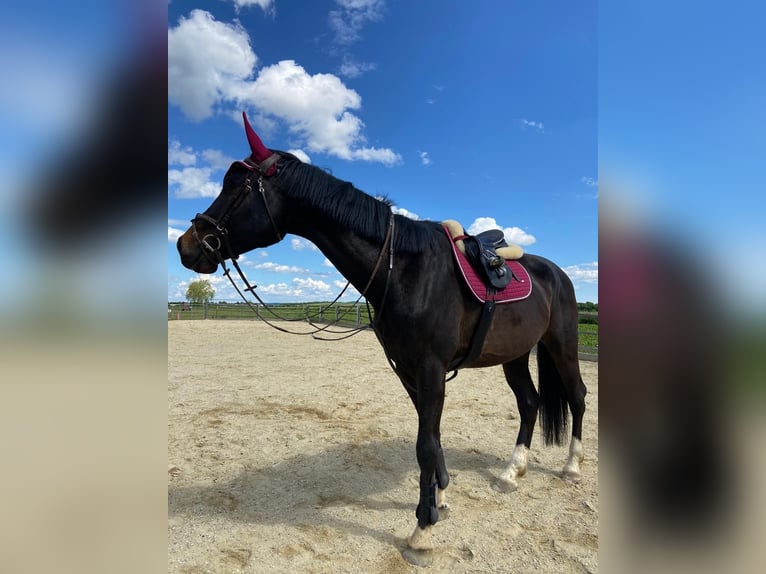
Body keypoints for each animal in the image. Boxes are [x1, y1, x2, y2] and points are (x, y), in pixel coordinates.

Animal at [178, 112, 588, 560]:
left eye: (235, 184)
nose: (185, 245)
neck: (404, 269)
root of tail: (558, 274)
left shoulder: (430, 370)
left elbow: (425, 444)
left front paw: (422, 530)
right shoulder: (407, 370)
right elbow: (432, 439)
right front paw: (440, 499)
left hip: (561, 345)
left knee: (578, 396)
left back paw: (571, 466)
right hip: (514, 354)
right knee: (530, 402)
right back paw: (512, 472)